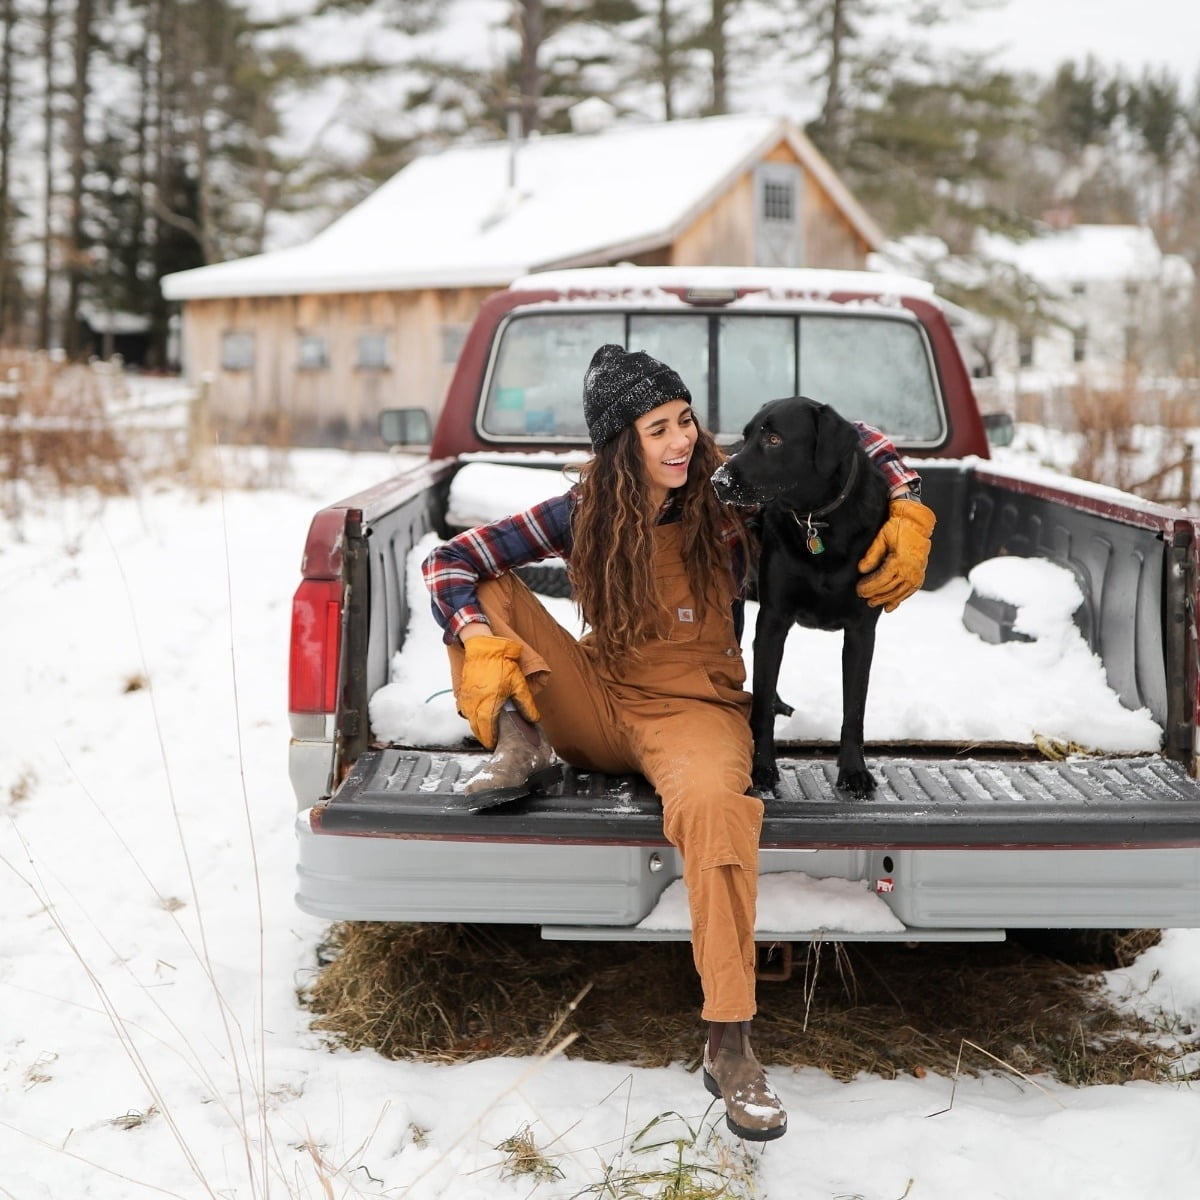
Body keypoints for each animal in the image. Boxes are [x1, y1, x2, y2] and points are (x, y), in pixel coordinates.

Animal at [710, 398, 892, 801]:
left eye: (775, 439)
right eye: (748, 435)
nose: (718, 481)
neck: (817, 520)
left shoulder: (862, 631)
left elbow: (854, 708)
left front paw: (854, 772)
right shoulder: (773, 617)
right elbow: (760, 708)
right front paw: (762, 769)